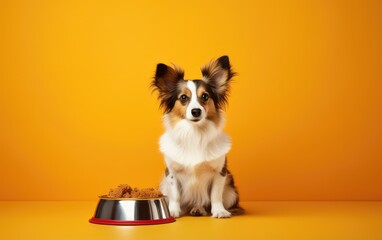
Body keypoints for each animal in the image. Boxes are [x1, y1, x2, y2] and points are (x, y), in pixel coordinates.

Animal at [151, 55, 240, 218]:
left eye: (205, 96)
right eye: (183, 97)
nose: (196, 111)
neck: (194, 132)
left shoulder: (220, 172)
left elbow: (215, 194)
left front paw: (219, 211)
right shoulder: (172, 173)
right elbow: (175, 195)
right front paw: (173, 211)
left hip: (231, 192)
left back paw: (198, 209)